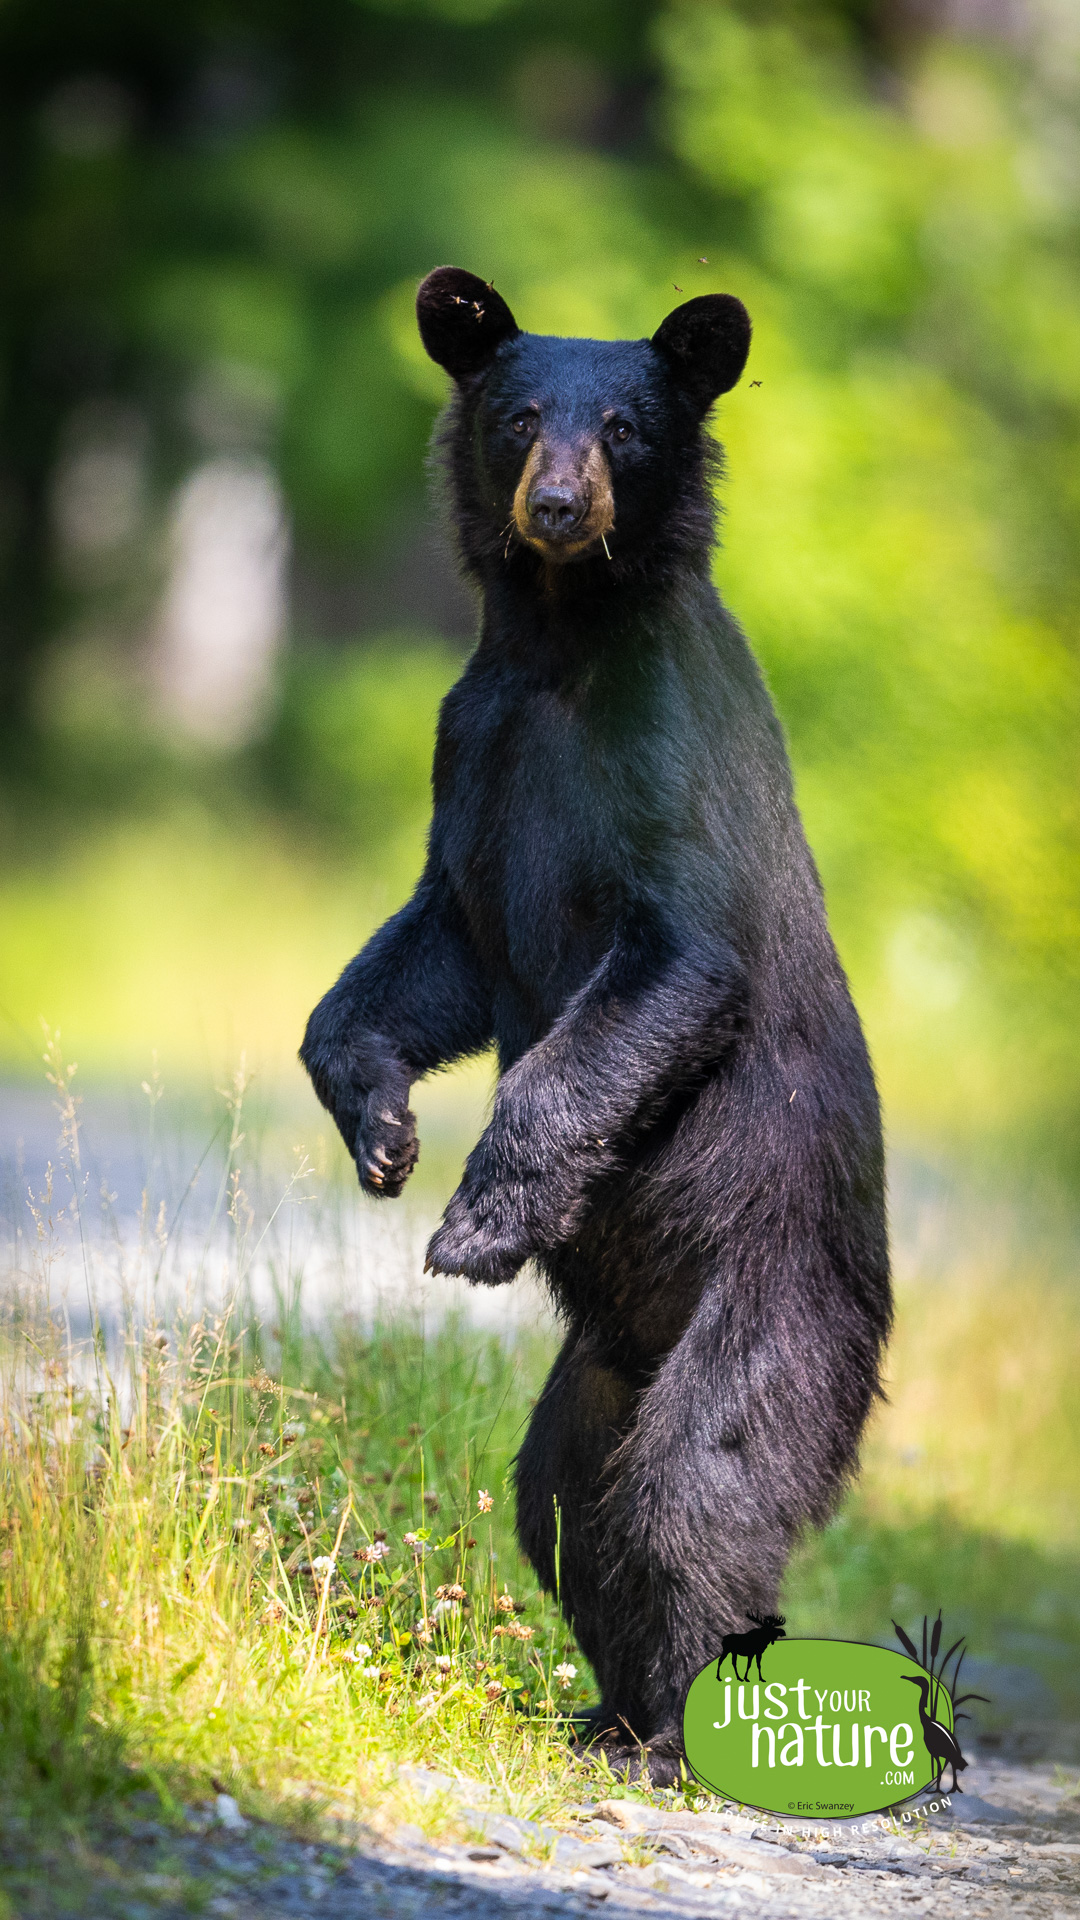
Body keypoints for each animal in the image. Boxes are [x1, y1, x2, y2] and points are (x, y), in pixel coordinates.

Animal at [297, 263, 887, 1774]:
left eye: (623, 424)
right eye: (519, 418)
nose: (559, 507)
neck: (565, 644)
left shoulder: (665, 756)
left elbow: (673, 962)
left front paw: (473, 1225)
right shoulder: (475, 748)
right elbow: (427, 950)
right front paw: (380, 1131)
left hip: (776, 1311)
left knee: (696, 1494)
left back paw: (675, 1729)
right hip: (594, 1381)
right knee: (562, 1503)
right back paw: (603, 1709)